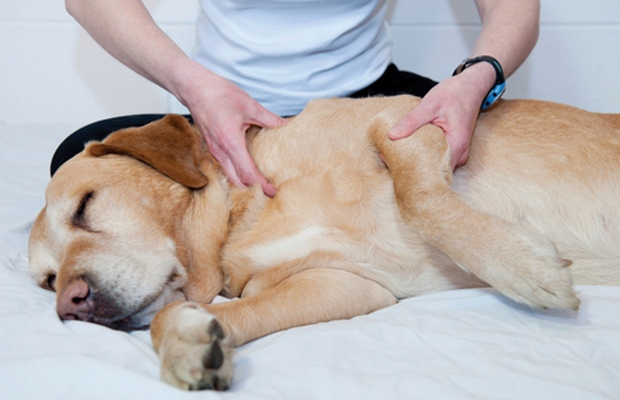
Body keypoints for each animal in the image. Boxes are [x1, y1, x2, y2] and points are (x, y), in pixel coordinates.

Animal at [27, 96, 620, 390]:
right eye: (47, 281)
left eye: (85, 205)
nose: (69, 305)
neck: (246, 216)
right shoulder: (346, 285)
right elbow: (196, 315)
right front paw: (188, 344)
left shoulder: (404, 120)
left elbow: (419, 199)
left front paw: (524, 268)